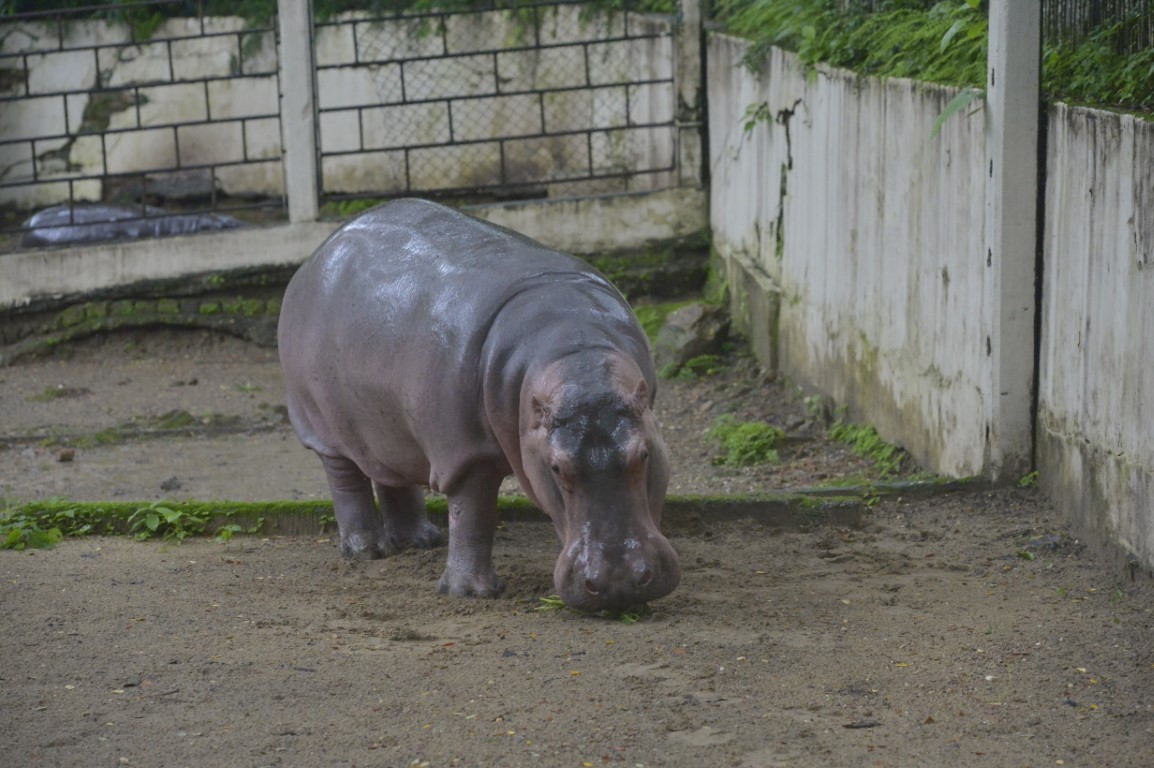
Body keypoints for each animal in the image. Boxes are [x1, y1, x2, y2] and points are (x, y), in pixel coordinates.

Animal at [277, 198, 680, 611]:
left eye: (645, 453)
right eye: (555, 467)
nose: (619, 585)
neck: (575, 345)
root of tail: (319, 253)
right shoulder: (467, 453)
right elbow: (473, 515)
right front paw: (470, 593)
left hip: (386, 423)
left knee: (390, 472)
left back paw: (422, 540)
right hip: (323, 425)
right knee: (345, 479)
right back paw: (367, 550)